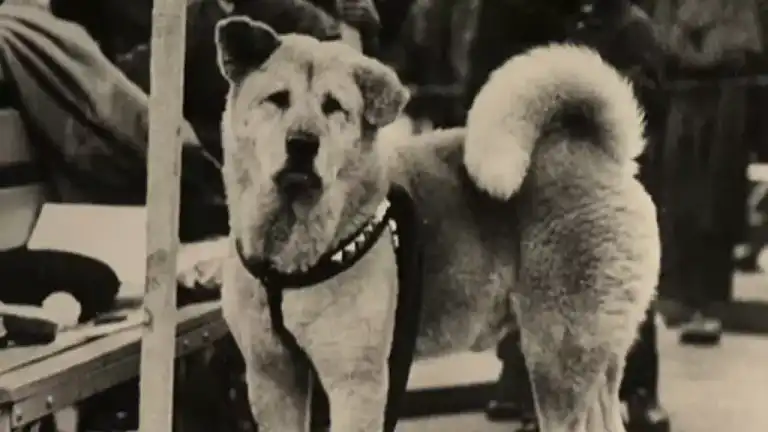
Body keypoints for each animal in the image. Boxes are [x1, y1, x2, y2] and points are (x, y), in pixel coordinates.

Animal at [212, 15, 660, 430]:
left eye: (333, 107)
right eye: (277, 99)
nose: (303, 143)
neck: (286, 254)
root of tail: (597, 151)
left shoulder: (357, 383)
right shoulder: (271, 377)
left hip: (558, 357)